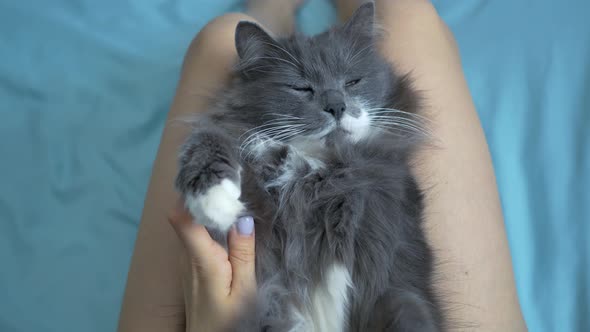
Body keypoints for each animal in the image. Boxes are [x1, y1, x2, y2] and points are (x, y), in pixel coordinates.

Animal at [175, 3, 444, 332]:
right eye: (301, 88)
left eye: (352, 81)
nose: (337, 106)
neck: (318, 172)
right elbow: (207, 138)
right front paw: (216, 202)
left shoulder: (400, 283)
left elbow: (410, 312)